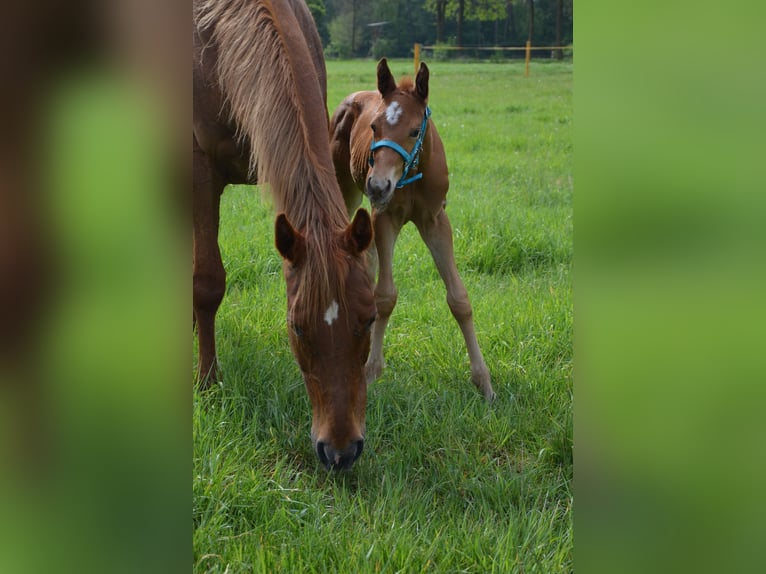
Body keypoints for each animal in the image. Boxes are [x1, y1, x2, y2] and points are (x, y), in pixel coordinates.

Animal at [193, 0, 376, 470]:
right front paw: (207, 381)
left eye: (369, 319)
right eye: (296, 327)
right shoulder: (201, 175)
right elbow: (207, 283)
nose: (341, 452)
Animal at [330, 58, 496, 401]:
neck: (411, 176)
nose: (378, 185)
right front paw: (371, 371)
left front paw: (483, 382)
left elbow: (459, 299)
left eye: (415, 130)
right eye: (374, 127)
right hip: (347, 191)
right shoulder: (384, 217)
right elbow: (385, 296)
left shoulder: (435, 221)